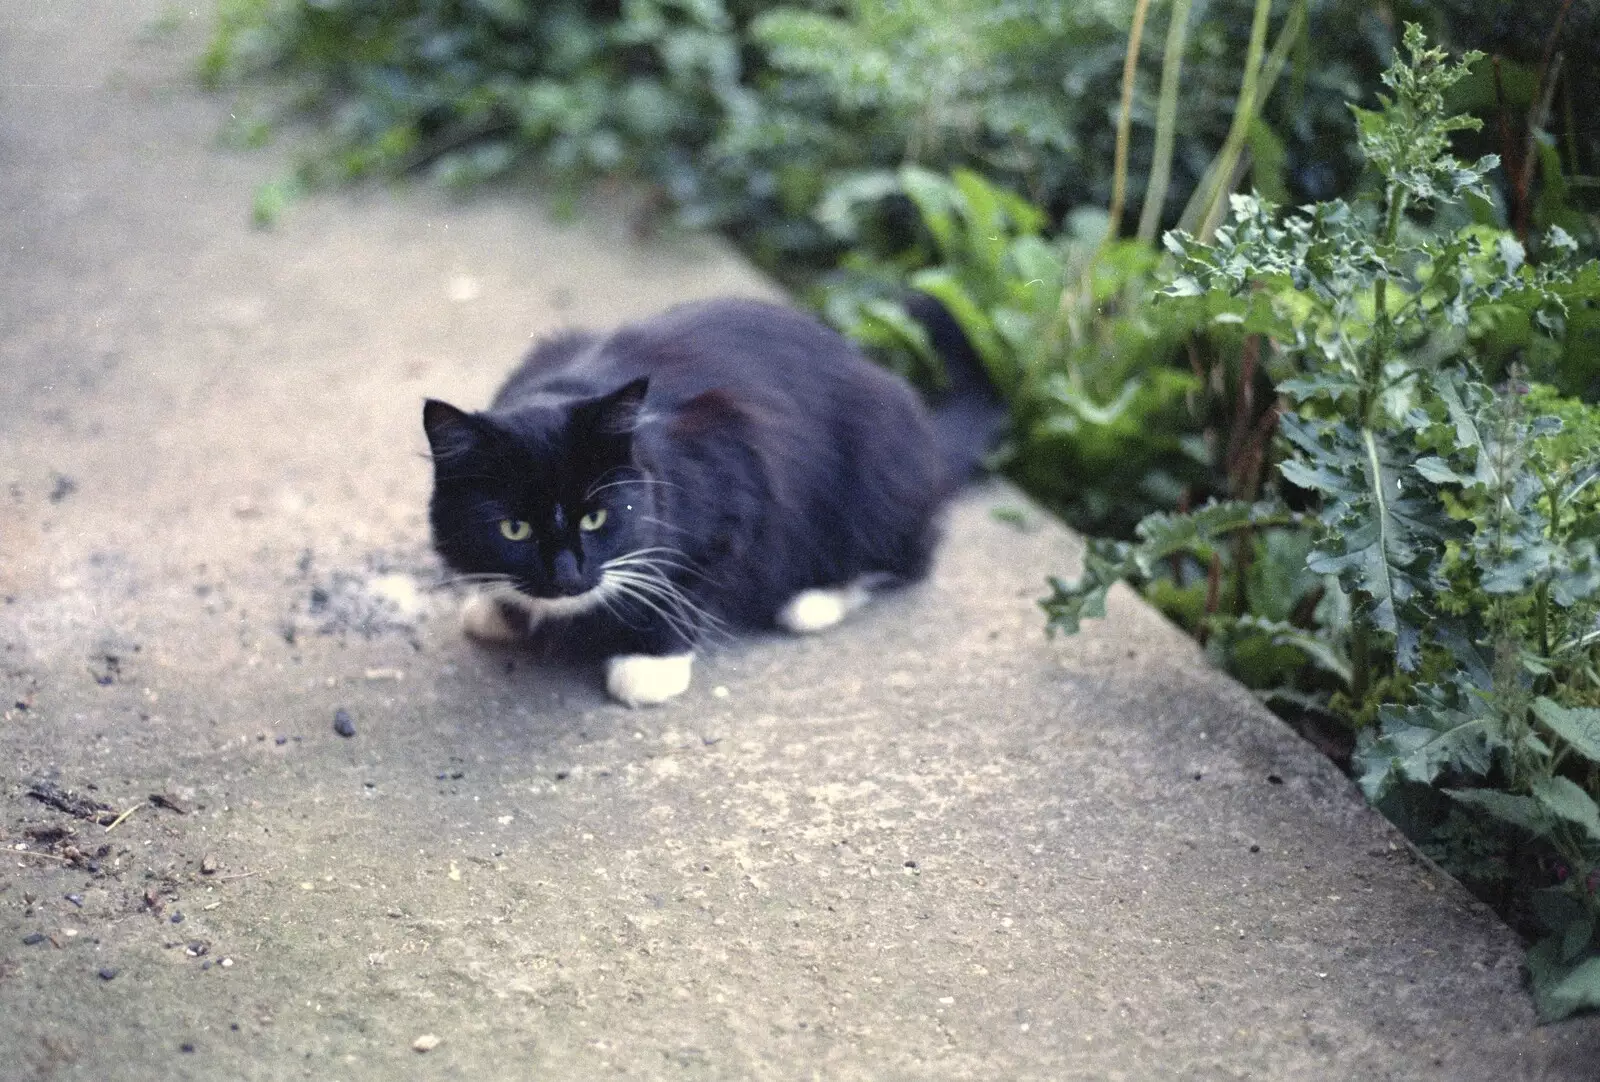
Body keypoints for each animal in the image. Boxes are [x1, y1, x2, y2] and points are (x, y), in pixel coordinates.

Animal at [425, 291, 998, 704]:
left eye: (595, 519)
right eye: (514, 529)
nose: (566, 576)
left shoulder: (738, 461)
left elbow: (697, 570)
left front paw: (649, 664)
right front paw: (501, 608)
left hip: (877, 466)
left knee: (908, 556)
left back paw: (813, 600)